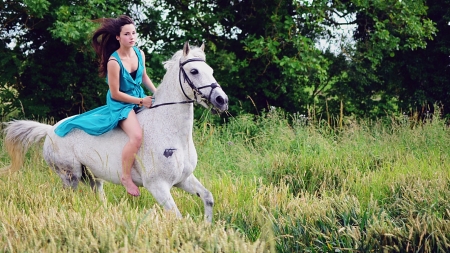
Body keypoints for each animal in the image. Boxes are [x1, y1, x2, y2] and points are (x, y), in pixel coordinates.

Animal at [0, 42, 229, 222]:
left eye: (211, 71)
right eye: (194, 71)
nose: (222, 100)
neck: (170, 131)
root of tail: (50, 130)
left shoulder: (183, 179)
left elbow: (208, 197)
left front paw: (207, 228)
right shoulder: (158, 186)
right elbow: (177, 217)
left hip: (92, 177)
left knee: (97, 196)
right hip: (69, 176)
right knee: (69, 200)